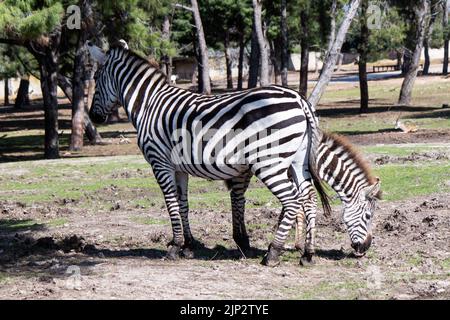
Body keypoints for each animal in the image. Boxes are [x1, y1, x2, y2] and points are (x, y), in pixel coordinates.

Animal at [86, 42, 374, 268]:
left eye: (96, 79)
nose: (93, 117)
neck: (149, 105)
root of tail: (300, 100)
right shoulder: (178, 167)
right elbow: (183, 203)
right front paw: (189, 245)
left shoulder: (160, 162)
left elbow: (171, 204)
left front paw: (175, 246)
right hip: (297, 161)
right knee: (308, 199)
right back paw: (308, 254)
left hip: (269, 163)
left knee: (292, 200)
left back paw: (273, 254)